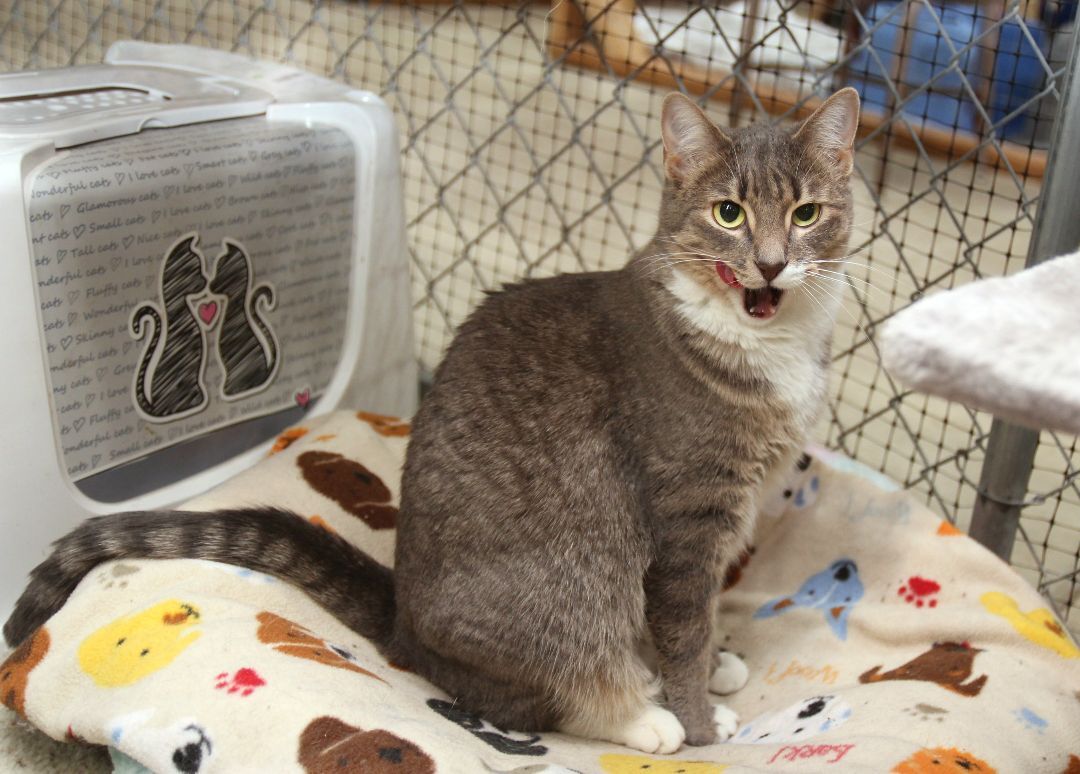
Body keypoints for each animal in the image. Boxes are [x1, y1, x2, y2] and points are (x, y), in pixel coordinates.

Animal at [4, 87, 855, 751]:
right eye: (729, 213)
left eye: (807, 212)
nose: (772, 262)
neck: (760, 340)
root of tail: (406, 626)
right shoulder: (686, 516)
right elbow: (681, 626)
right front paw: (700, 717)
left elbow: (697, 621)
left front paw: (719, 663)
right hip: (568, 593)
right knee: (546, 690)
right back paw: (639, 717)